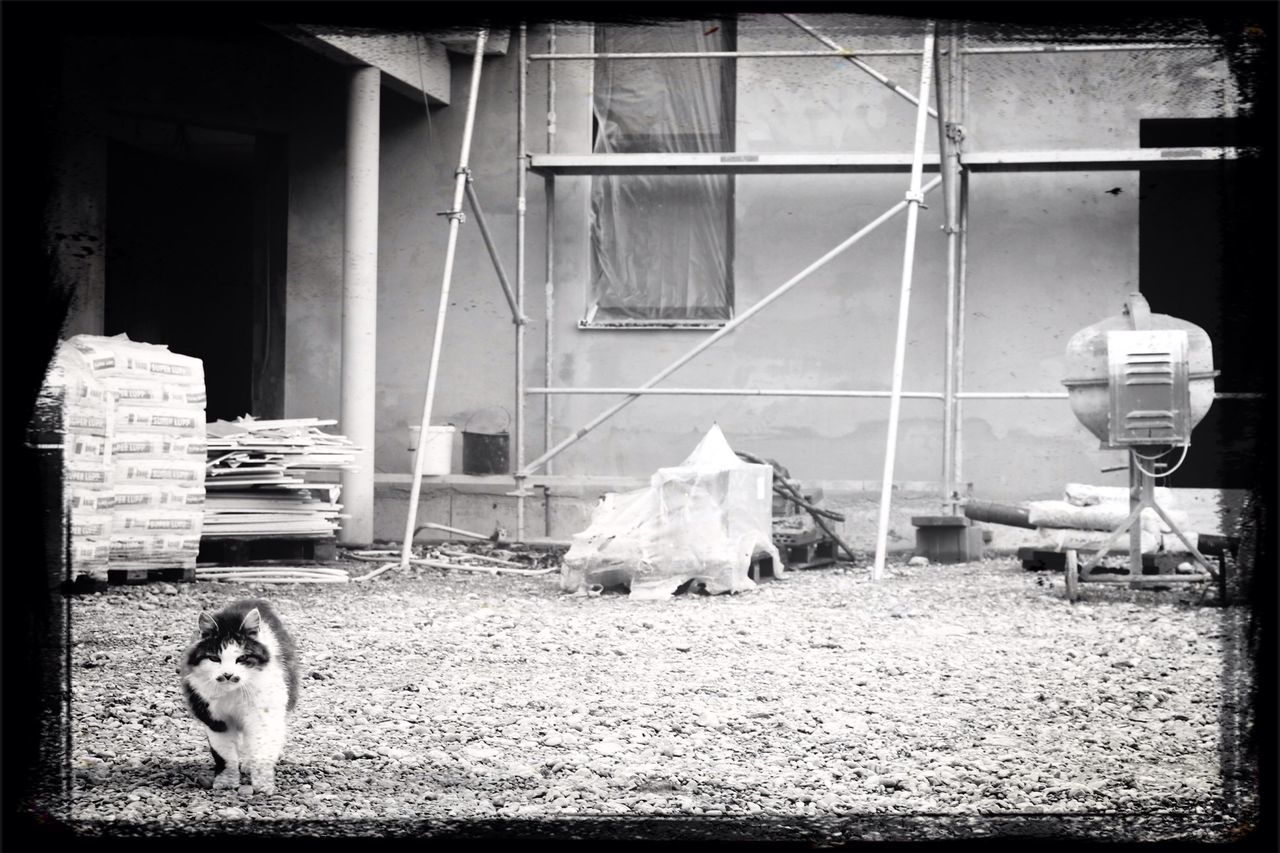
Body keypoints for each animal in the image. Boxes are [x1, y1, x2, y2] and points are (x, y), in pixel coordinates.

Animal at [180, 596, 299, 788]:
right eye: (214, 658)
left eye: (242, 658)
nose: (228, 675)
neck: (234, 694)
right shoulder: (215, 719)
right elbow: (225, 755)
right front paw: (226, 782)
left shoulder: (264, 715)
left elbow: (261, 748)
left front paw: (262, 784)